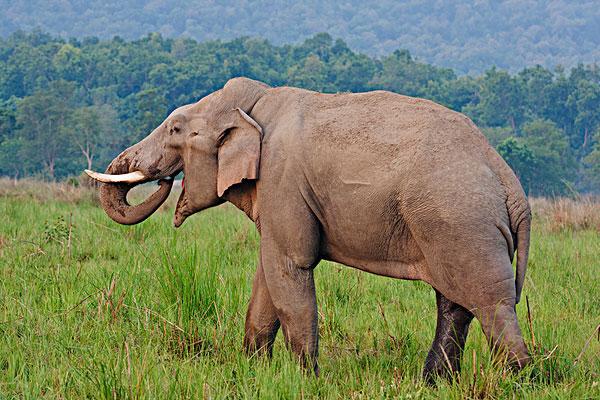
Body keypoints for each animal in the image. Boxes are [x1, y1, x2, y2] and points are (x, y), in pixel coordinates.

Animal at [85, 76, 528, 382]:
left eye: (175, 128)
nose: (163, 180)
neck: (256, 103)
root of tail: (512, 188)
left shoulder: (283, 181)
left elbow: (289, 266)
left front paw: (305, 379)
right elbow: (267, 276)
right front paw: (252, 373)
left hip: (461, 222)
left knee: (490, 305)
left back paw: (516, 378)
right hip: (454, 226)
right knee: (455, 304)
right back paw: (434, 383)